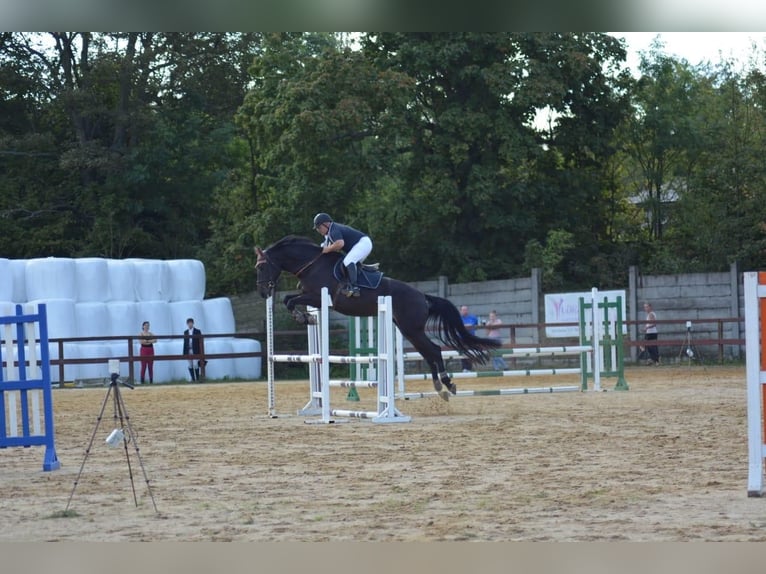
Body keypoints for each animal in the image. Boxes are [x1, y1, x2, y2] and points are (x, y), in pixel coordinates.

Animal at [255, 234, 500, 400]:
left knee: (434, 350)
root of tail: (422, 296)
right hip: (408, 330)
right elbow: (289, 299)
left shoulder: (318, 296)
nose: (263, 292)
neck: (311, 265)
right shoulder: (312, 298)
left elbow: (290, 300)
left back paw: (447, 384)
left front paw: (302, 317)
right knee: (430, 352)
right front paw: (306, 318)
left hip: (411, 329)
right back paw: (440, 388)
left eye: (261, 267)